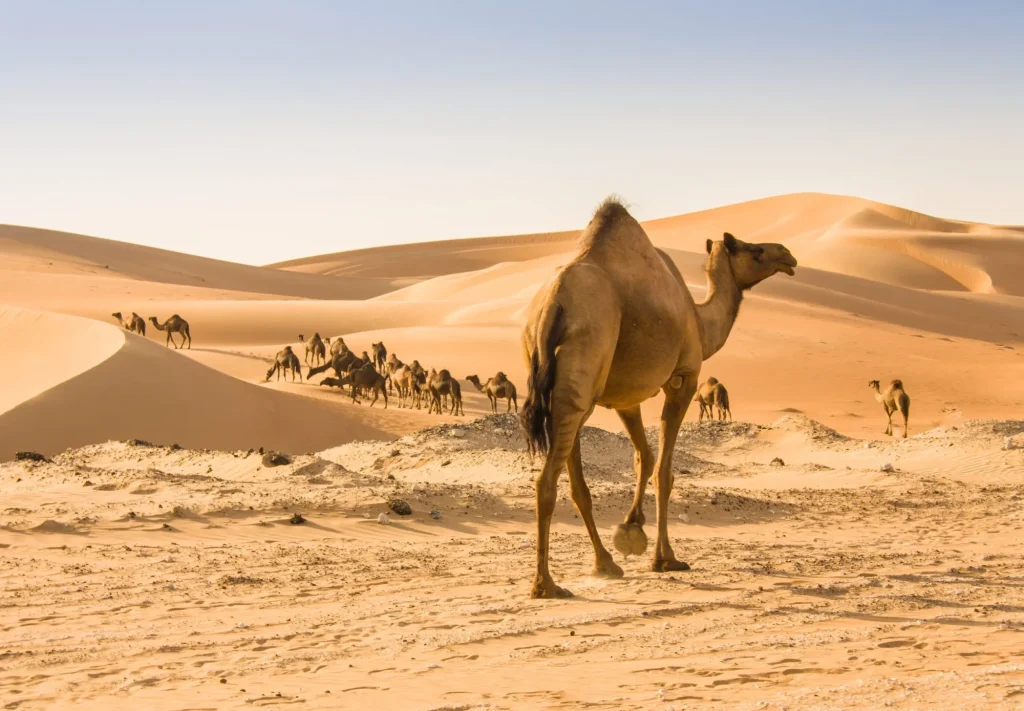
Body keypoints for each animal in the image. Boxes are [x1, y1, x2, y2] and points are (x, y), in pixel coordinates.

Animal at [519, 198, 796, 598]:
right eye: (754, 249)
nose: (787, 254)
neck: (700, 320)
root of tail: (552, 306)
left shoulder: (624, 397)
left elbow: (644, 458)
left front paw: (631, 529)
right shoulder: (685, 378)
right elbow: (665, 470)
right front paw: (665, 558)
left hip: (565, 385)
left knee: (575, 482)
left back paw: (605, 564)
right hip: (584, 365)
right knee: (547, 481)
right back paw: (547, 585)